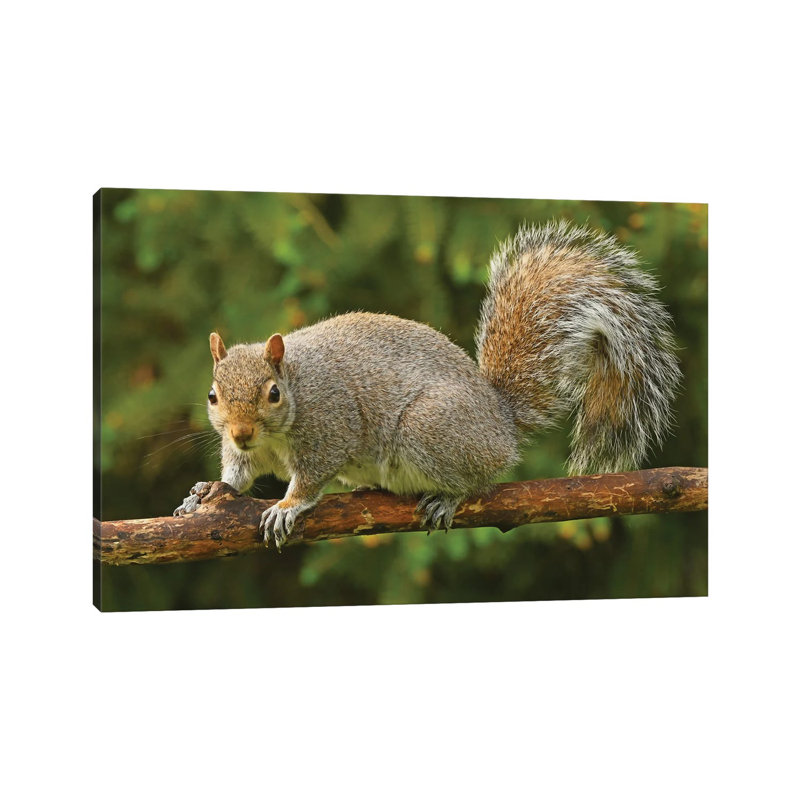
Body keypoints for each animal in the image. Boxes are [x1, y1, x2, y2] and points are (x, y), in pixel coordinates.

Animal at [173, 220, 681, 550]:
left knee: (478, 480)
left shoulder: (329, 428)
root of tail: (500, 421)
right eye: (213, 395)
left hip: (428, 429)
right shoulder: (248, 454)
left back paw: (448, 498)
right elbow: (235, 477)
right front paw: (203, 493)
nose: (241, 433)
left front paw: (286, 506)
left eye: (273, 394)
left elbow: (312, 477)